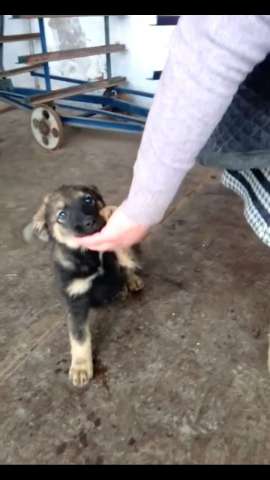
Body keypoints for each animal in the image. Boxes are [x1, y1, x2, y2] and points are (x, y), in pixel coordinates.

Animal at [24, 186, 143, 388]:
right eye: (62, 215)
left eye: (88, 200)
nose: (90, 222)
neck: (90, 256)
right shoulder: (75, 299)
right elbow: (79, 337)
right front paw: (80, 367)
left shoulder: (118, 251)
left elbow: (124, 253)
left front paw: (110, 213)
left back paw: (131, 282)